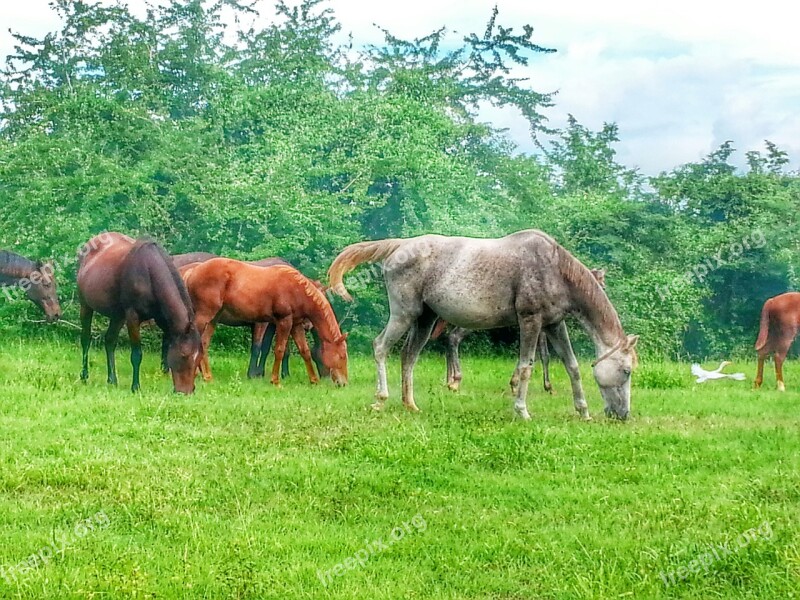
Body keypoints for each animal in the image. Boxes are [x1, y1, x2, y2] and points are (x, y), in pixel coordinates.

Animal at [77, 231, 203, 394]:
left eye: (199, 358)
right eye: (184, 355)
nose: (186, 392)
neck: (149, 273)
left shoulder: (163, 320)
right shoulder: (132, 317)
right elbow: (137, 354)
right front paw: (135, 387)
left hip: (117, 316)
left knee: (109, 341)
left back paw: (112, 379)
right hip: (85, 306)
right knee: (86, 339)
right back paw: (84, 375)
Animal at [186, 258, 352, 384]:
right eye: (342, 356)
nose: (343, 383)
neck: (297, 289)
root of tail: (192, 271)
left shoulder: (296, 325)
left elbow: (304, 351)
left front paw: (313, 380)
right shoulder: (283, 322)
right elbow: (279, 349)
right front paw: (275, 380)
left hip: (212, 320)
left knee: (204, 343)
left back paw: (207, 376)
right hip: (203, 317)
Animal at [434, 268, 608, 392]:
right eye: (600, 281)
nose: (603, 290)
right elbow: (543, 356)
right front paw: (544, 386)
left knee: (448, 338)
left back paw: (448, 379)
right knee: (453, 337)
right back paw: (455, 379)